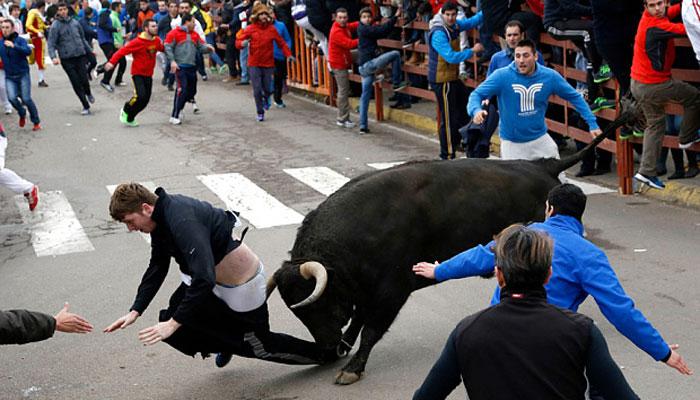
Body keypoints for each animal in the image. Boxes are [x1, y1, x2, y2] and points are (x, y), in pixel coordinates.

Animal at [266, 115, 628, 384]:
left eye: (317, 303)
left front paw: (352, 368)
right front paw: (347, 350)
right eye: (298, 311)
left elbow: (370, 328)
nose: (327, 348)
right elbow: (358, 321)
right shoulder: (365, 291)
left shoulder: (392, 290)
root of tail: (542, 166)